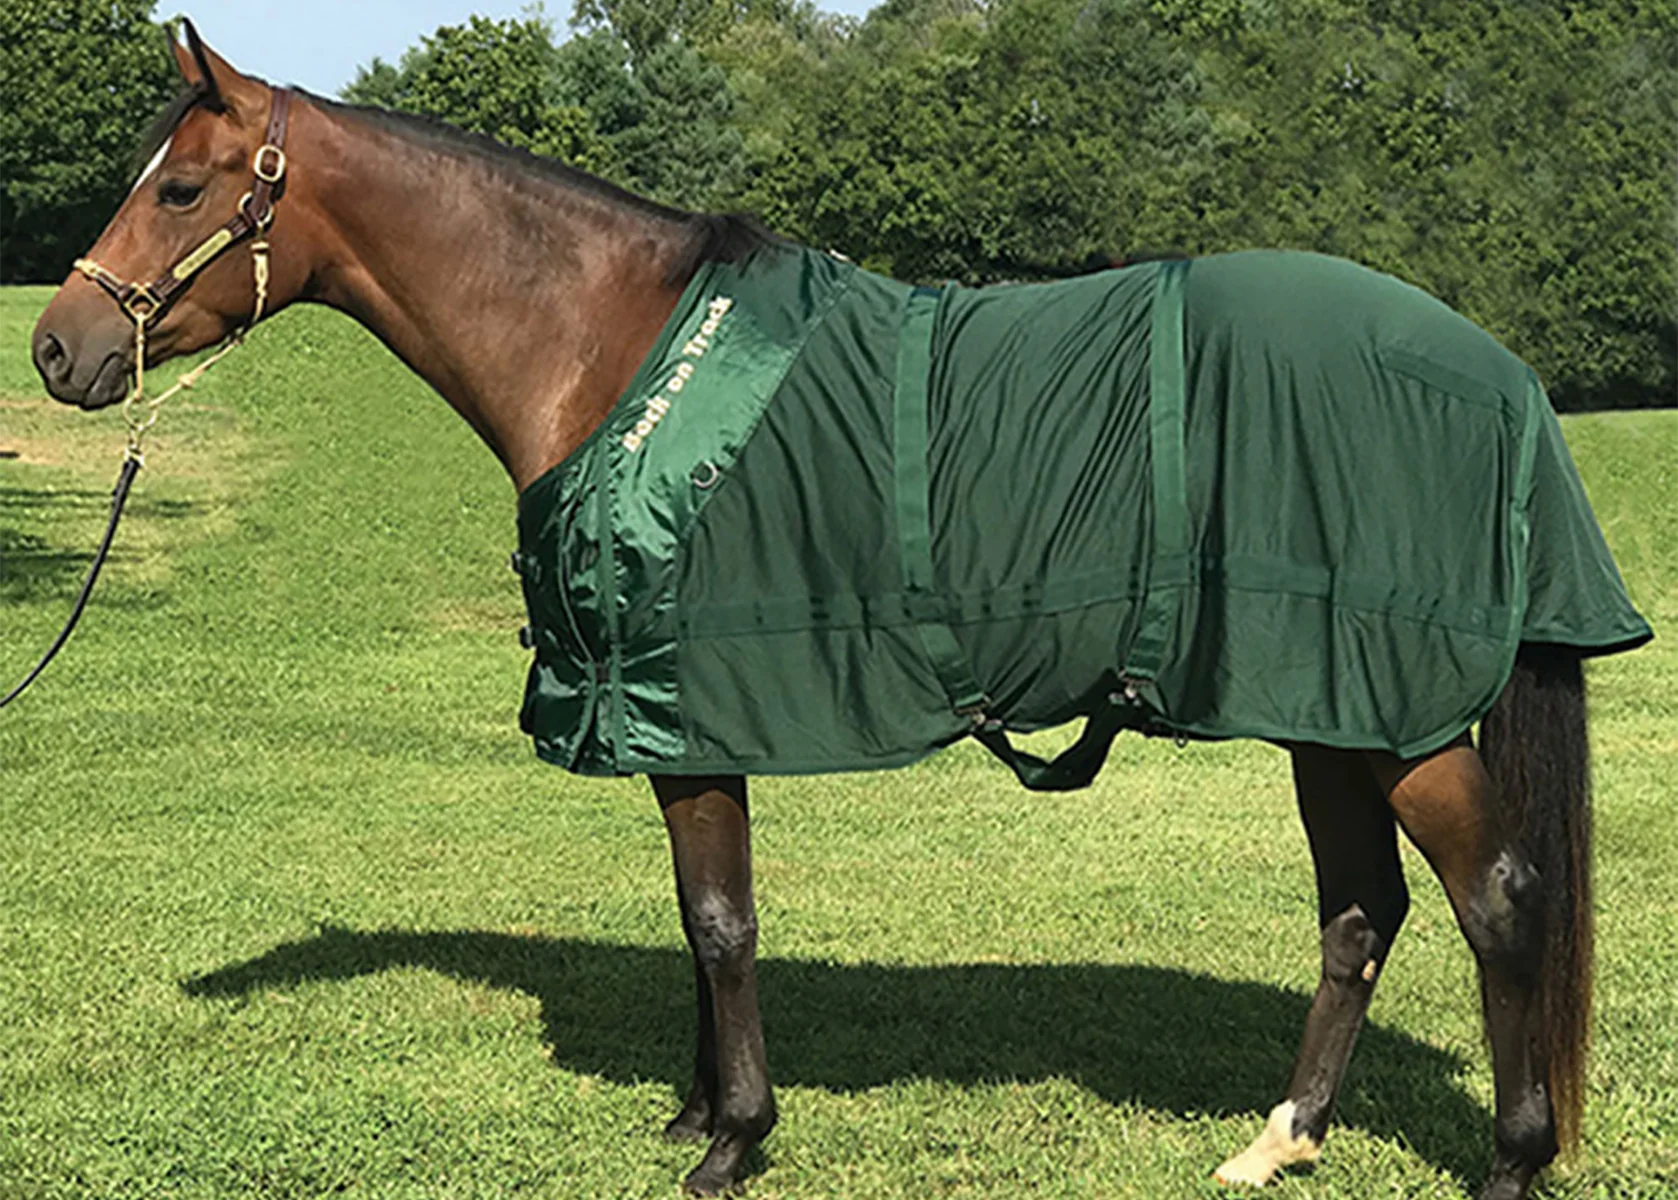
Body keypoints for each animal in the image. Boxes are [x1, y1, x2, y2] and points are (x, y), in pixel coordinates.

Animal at [28, 25, 1651, 1200]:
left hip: (1397, 716)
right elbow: (698, 919)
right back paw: (1280, 1139)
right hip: (1324, 705)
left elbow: (720, 920)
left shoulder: (683, 696)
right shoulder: (682, 713)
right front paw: (699, 1109)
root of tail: (1496, 374)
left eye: (182, 188)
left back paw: (1509, 1166)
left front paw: (733, 1137)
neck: (609, 345)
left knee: (1500, 901)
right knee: (1360, 912)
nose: (57, 347)